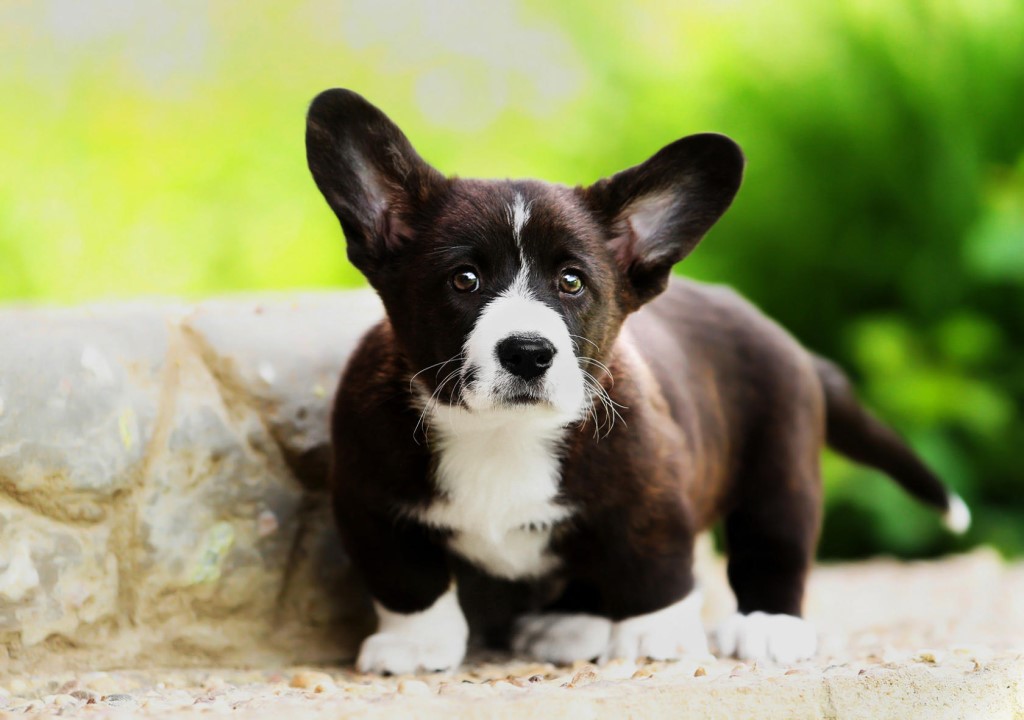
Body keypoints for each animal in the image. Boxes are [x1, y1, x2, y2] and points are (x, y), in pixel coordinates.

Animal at [301, 90, 966, 675]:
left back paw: (767, 623)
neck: (502, 434)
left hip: (782, 462)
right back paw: (572, 623)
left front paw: (655, 639)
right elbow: (408, 582)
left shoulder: (650, 495)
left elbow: (654, 570)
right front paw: (414, 646)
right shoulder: (370, 504)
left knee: (774, 543)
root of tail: (787, 339)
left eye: (572, 282)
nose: (528, 353)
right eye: (463, 279)